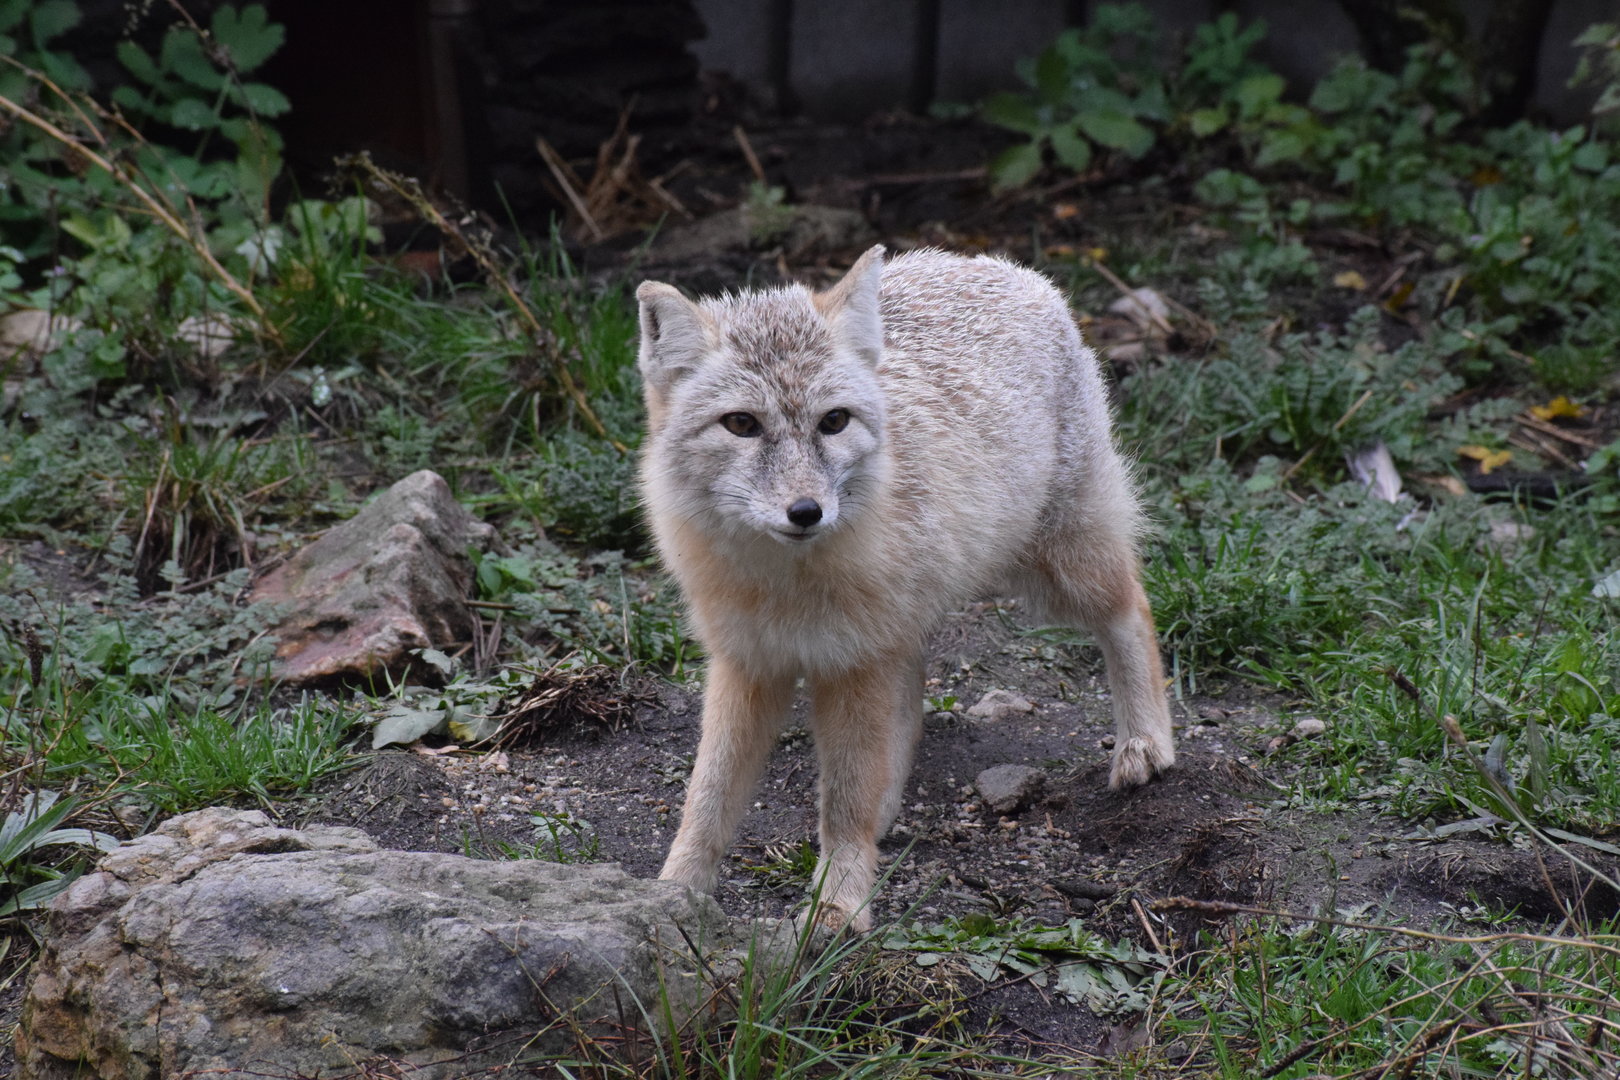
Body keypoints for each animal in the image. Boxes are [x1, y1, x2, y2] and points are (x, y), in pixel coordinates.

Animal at [635, 246, 1174, 931]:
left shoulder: (852, 663)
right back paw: (889, 799)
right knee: (909, 691)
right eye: (741, 424)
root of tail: (1004, 266)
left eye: (834, 421)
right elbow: (708, 798)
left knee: (1133, 608)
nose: (806, 512)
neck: (785, 586)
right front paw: (672, 894)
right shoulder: (748, 661)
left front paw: (838, 904)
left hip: (1060, 569)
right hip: (915, 614)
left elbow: (842, 804)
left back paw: (1145, 741)